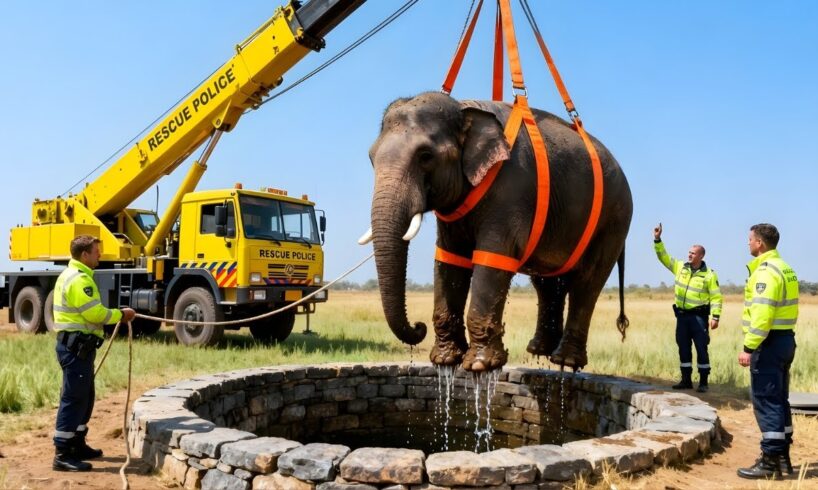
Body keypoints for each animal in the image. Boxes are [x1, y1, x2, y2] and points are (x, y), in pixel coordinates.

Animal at [360, 91, 632, 372]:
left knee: (588, 281)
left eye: (426, 156)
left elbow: (493, 257)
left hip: (614, 218)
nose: (418, 326)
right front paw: (446, 361)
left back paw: (565, 361)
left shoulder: (512, 189)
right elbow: (450, 260)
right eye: (371, 158)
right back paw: (539, 350)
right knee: (547, 282)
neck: (463, 109)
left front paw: (480, 366)